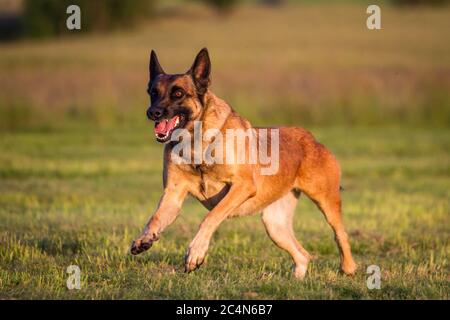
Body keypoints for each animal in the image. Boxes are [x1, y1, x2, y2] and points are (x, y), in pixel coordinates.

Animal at [129, 48, 356, 278]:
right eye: (153, 92)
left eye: (178, 94)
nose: (153, 112)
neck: (196, 143)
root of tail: (311, 138)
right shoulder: (173, 196)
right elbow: (155, 218)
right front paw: (144, 239)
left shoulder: (242, 186)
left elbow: (210, 217)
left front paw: (195, 253)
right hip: (275, 226)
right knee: (302, 255)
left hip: (326, 202)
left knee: (340, 234)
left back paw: (348, 268)